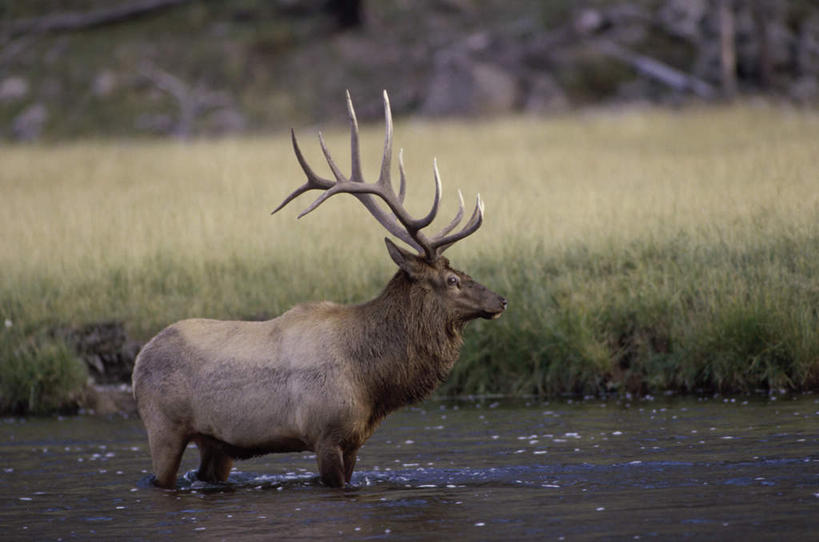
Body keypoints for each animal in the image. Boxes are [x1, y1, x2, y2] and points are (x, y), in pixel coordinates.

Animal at [133, 91, 506, 490]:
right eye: (452, 280)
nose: (500, 300)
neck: (374, 382)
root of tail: (139, 360)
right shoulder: (325, 434)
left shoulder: (355, 441)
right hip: (164, 427)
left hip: (216, 443)